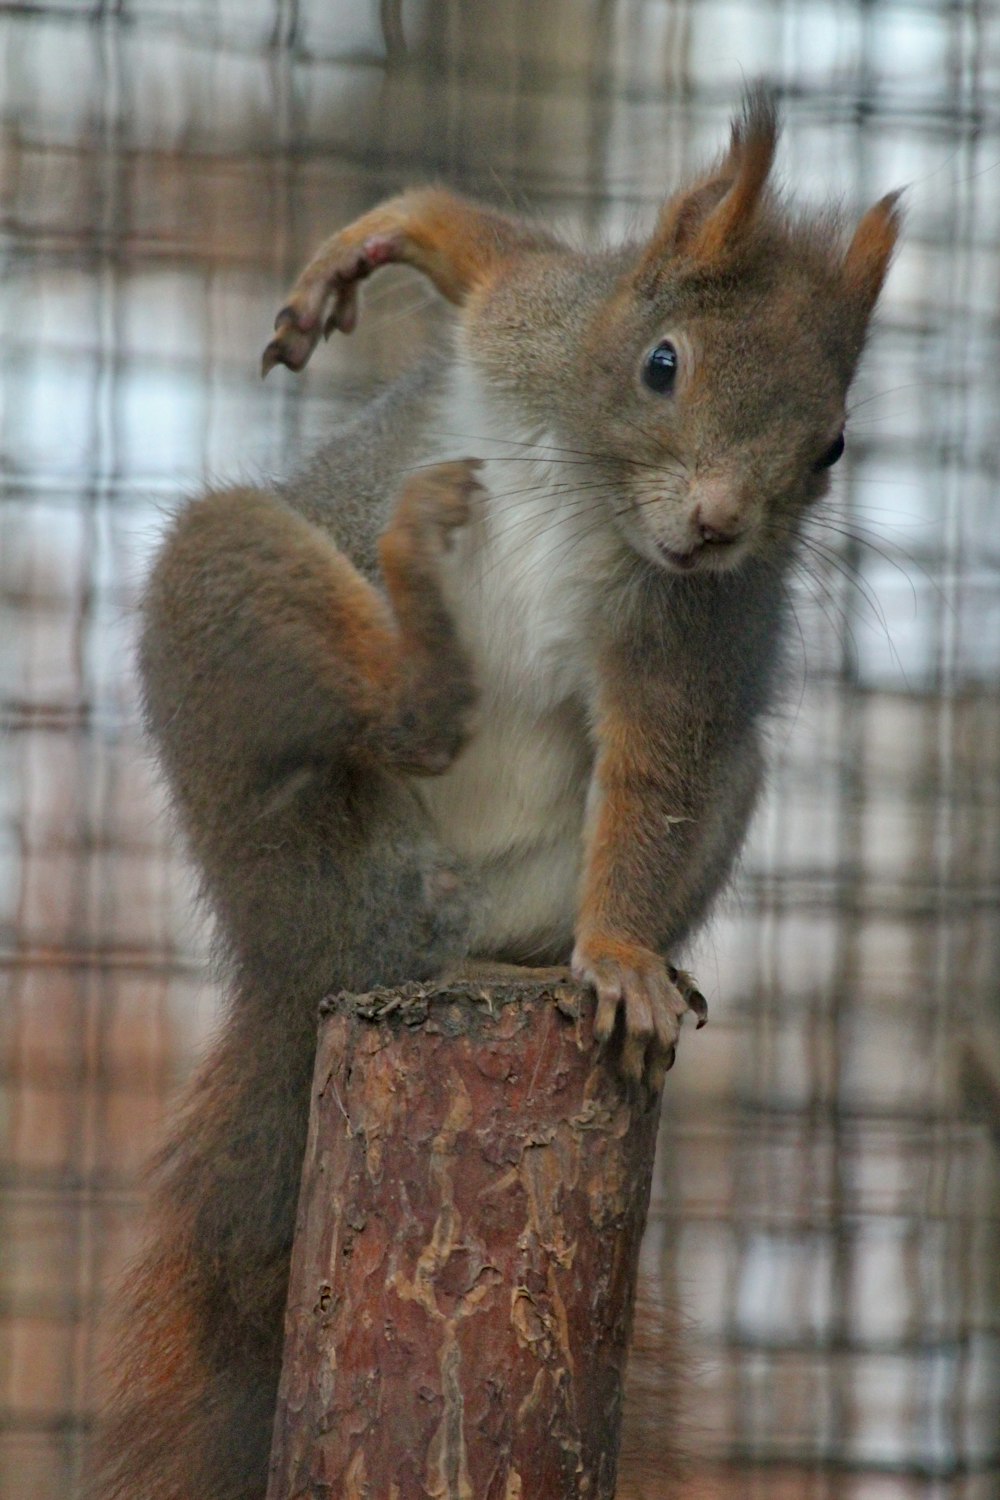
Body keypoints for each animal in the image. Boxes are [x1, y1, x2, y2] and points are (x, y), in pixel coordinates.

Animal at [91, 93, 899, 1500]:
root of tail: (312, 965)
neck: (596, 498)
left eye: (831, 446)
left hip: (635, 828)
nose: (716, 525)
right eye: (661, 364)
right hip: (251, 693)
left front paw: (622, 960)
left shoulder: (686, 651)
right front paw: (362, 249)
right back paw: (411, 617)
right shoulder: (531, 319)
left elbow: (656, 782)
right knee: (336, 673)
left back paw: (548, 960)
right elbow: (487, 251)